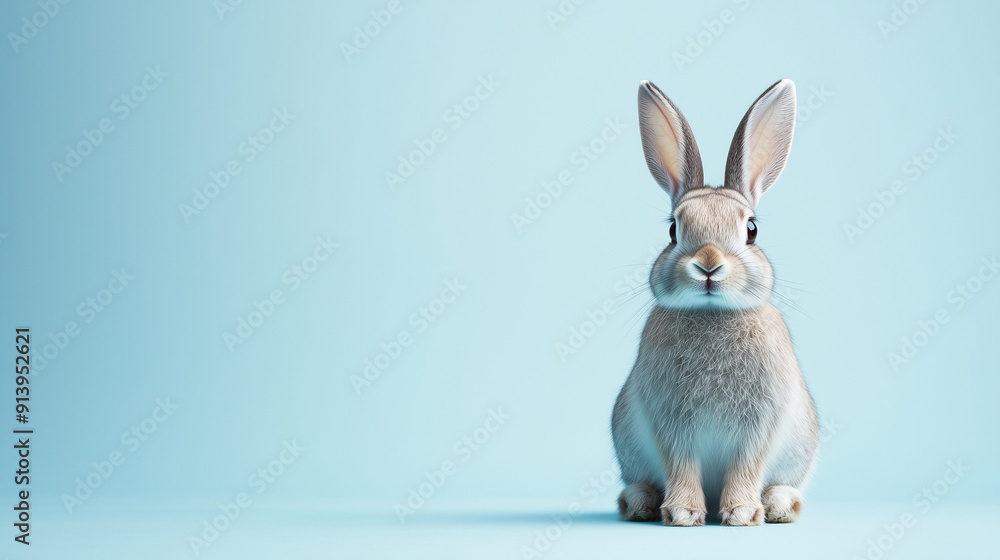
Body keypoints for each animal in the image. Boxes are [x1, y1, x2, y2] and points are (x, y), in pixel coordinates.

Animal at [611, 79, 819, 527]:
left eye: (752, 229)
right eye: (673, 230)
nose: (708, 264)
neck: (712, 315)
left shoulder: (759, 422)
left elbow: (746, 464)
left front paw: (740, 512)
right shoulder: (670, 420)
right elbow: (680, 462)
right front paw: (684, 513)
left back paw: (780, 505)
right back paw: (638, 503)